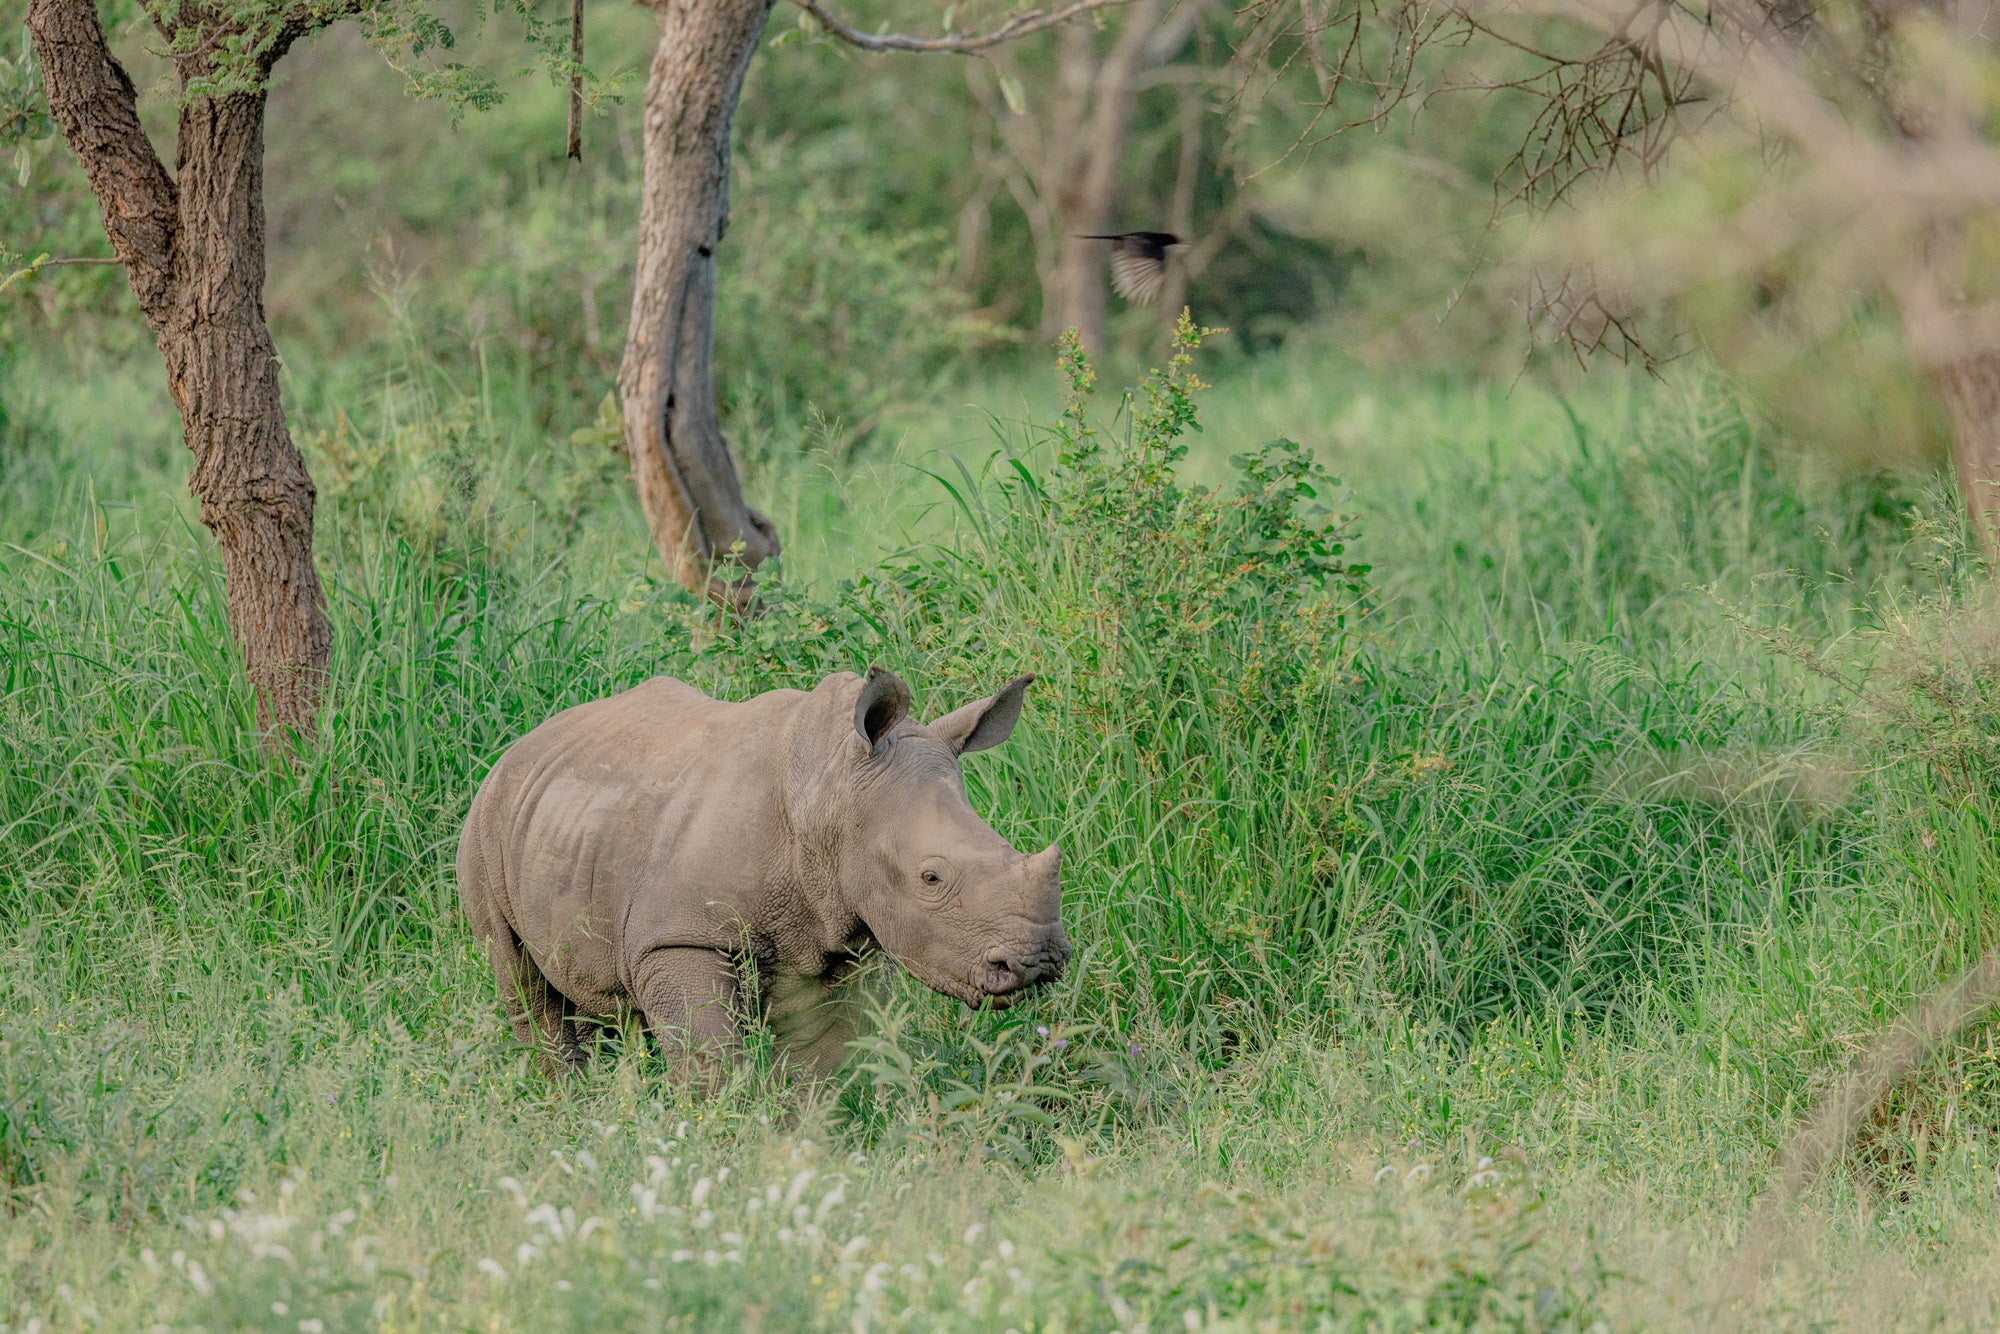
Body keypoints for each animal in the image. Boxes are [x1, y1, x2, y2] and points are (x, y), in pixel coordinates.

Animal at [456, 668, 1064, 1088]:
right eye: (931, 878)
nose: (1037, 962)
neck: (830, 791)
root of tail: (519, 745)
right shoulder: (679, 937)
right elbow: (710, 1060)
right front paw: (717, 1135)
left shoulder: (843, 943)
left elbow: (826, 1063)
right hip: (485, 827)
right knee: (524, 985)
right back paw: (573, 1107)